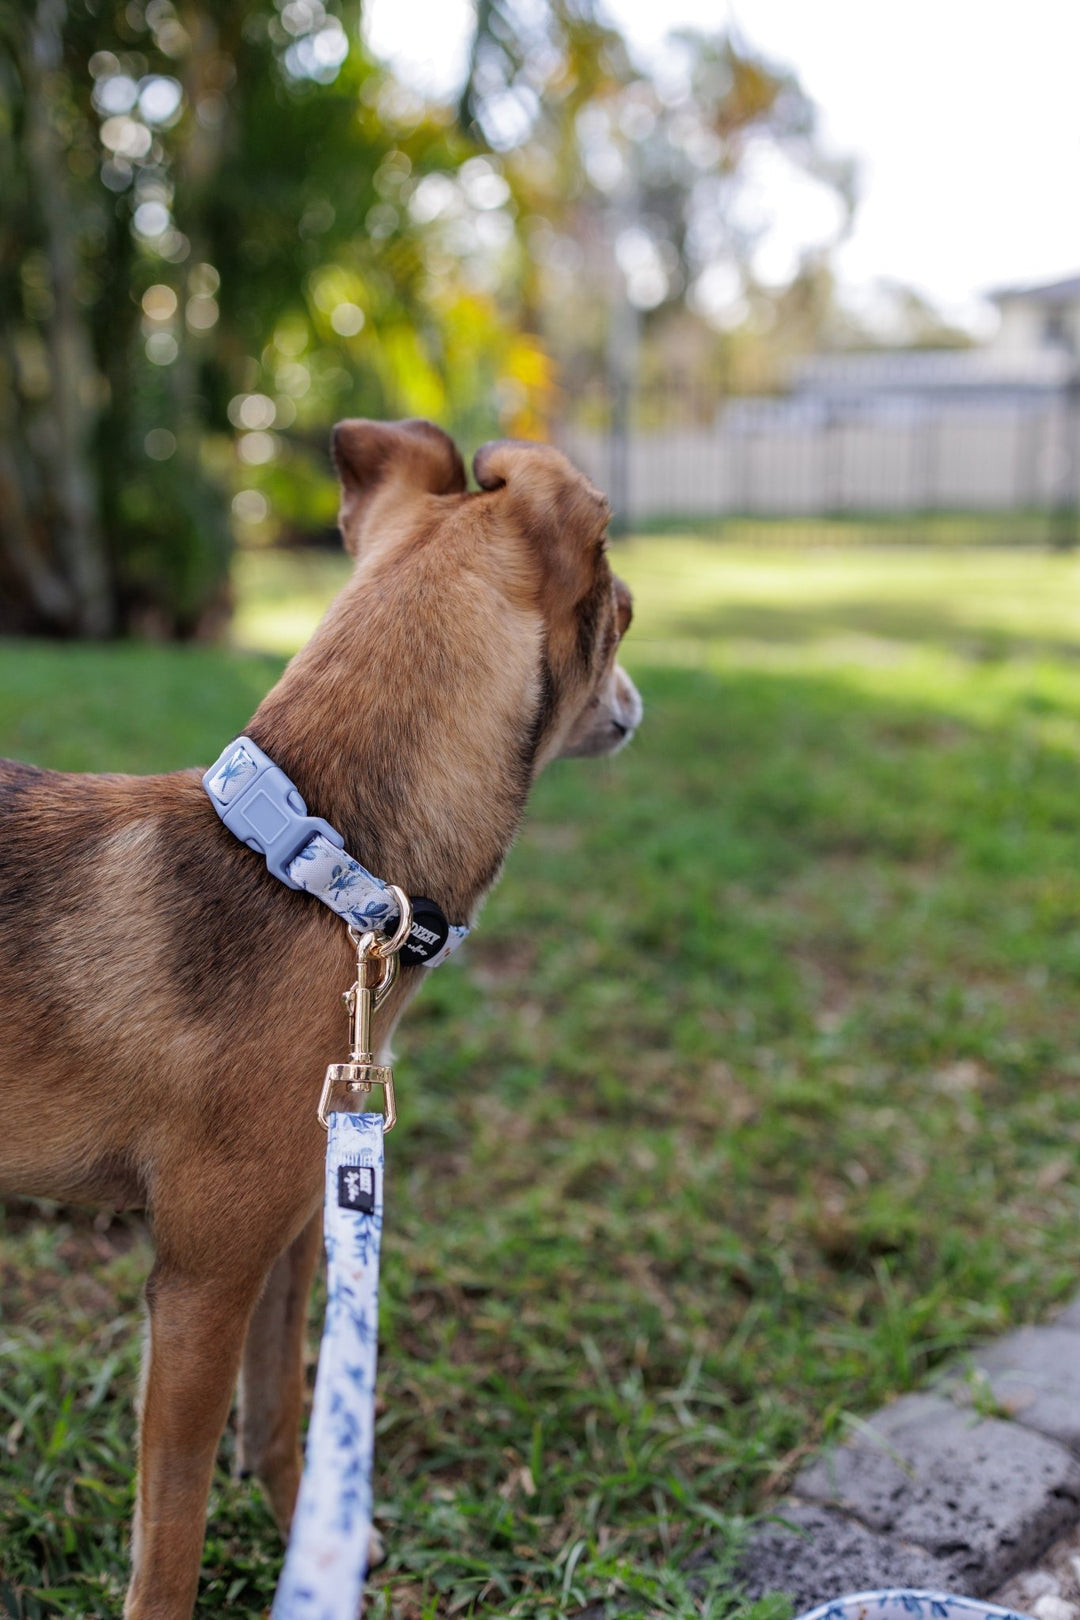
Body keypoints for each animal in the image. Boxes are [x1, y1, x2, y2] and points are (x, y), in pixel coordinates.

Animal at [0, 421, 641, 1620]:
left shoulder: (302, 1226)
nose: (637, 699)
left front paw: (319, 1537)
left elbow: (289, 1412)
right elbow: (173, 1528)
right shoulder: (199, 1286)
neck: (322, 874)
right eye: (624, 607)